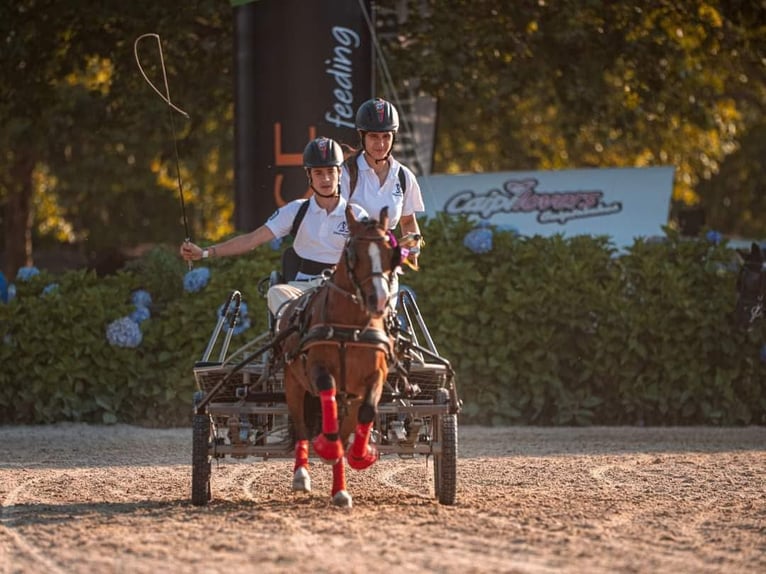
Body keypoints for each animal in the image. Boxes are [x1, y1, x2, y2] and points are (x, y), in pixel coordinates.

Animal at [280, 207, 404, 508]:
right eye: (354, 253)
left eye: (390, 253)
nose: (379, 300)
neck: (352, 327)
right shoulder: (317, 369)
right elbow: (327, 396)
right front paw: (326, 447)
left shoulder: (374, 377)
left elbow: (368, 411)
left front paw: (361, 456)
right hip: (293, 382)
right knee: (302, 426)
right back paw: (302, 474)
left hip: (350, 396)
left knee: (346, 426)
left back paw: (340, 490)